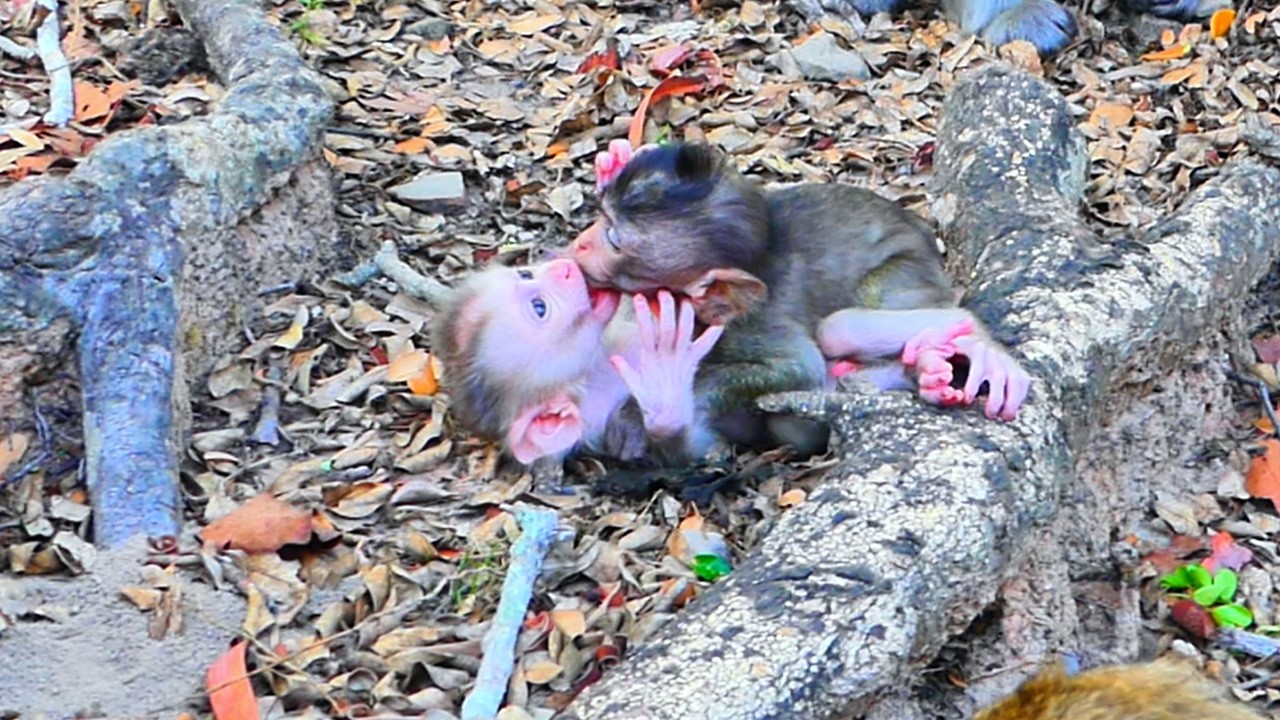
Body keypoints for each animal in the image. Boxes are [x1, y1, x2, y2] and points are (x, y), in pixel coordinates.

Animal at [429, 257, 725, 467]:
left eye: (525, 274)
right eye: (539, 308)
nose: (565, 268)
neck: (599, 366)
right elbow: (696, 452)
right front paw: (663, 378)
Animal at [569, 140, 1030, 453]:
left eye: (613, 238)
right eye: (601, 216)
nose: (581, 243)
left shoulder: (748, 325)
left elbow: (799, 367)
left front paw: (642, 409)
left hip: (909, 273)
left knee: (837, 330)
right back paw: (930, 368)